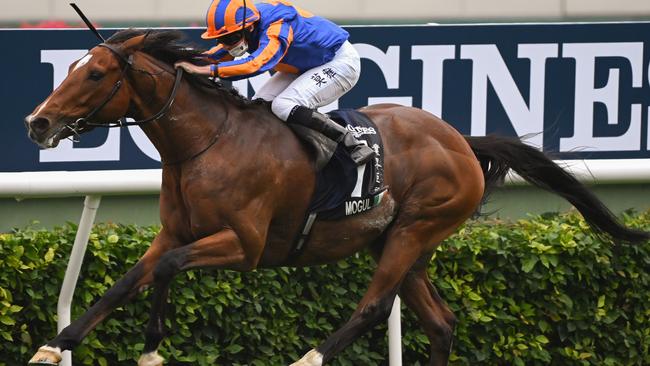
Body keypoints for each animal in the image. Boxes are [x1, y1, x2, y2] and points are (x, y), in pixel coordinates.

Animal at [22, 29, 644, 366]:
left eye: (95, 74)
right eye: (73, 66)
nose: (38, 122)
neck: (206, 142)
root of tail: (460, 142)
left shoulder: (244, 245)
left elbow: (171, 268)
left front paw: (152, 347)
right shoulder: (176, 231)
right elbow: (128, 280)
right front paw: (54, 345)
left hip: (416, 228)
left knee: (374, 307)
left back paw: (310, 356)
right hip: (393, 240)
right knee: (440, 322)